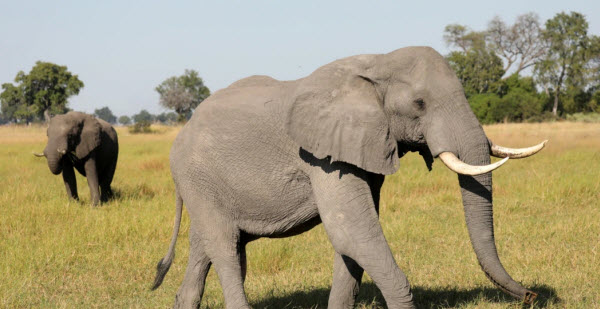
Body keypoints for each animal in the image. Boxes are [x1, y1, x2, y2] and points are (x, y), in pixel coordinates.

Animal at [152, 47, 548, 306]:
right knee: (225, 249)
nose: (531, 294)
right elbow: (352, 232)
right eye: (419, 104)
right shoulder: (321, 155)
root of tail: (181, 133)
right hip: (195, 176)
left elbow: (353, 244)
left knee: (208, 247)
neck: (377, 63)